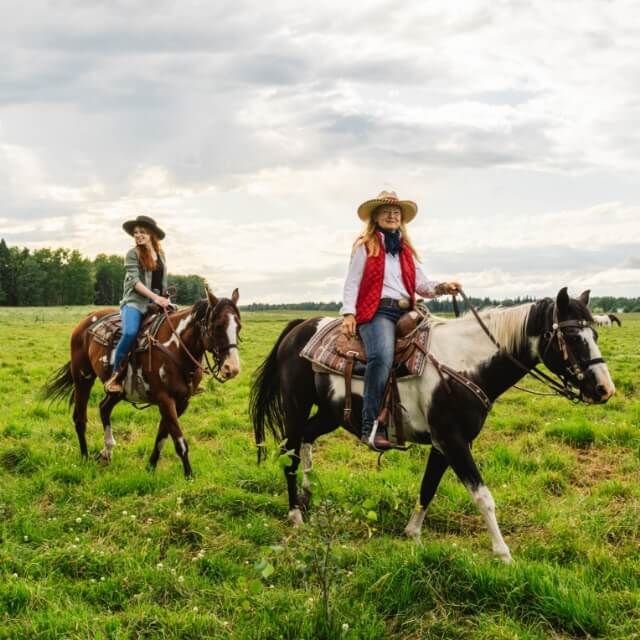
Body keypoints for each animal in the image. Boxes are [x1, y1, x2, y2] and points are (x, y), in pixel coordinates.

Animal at [44, 286, 240, 476]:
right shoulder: (165, 400)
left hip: (117, 391)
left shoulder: (181, 402)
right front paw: (189, 476)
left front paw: (151, 467)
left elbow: (162, 437)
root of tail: (85, 322)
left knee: (104, 407)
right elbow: (180, 442)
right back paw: (85, 457)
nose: (232, 368)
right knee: (80, 419)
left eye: (238, 327)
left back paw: (107, 451)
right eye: (217, 326)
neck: (175, 348)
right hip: (83, 379)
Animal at [250, 288, 616, 564]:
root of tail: (300, 326)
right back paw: (295, 514)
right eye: (573, 336)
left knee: (307, 439)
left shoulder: (444, 445)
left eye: (596, 333)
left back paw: (308, 493)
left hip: (331, 412)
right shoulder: (453, 441)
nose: (604, 389)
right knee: (290, 453)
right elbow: (483, 496)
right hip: (296, 406)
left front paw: (412, 534)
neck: (466, 365)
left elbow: (428, 488)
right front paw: (503, 554)